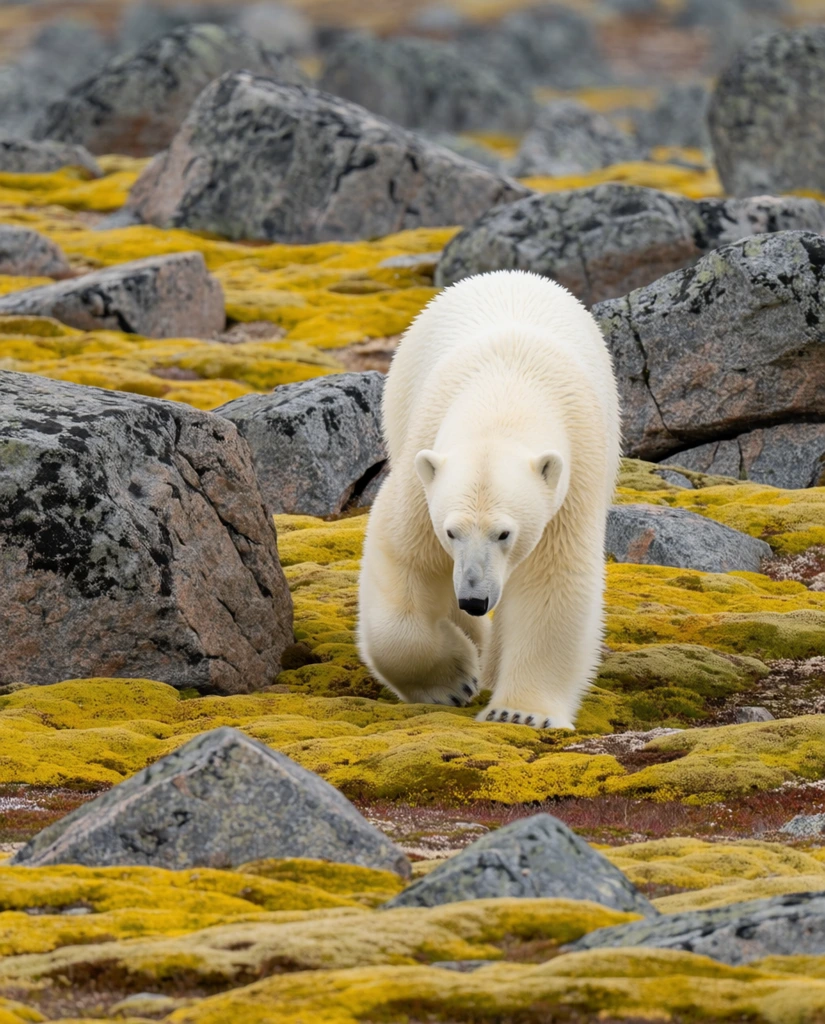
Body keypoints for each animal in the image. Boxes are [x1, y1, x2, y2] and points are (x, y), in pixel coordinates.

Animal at [357, 270, 620, 729]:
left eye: (504, 533)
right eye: (451, 532)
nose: (475, 600)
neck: (505, 391)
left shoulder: (573, 480)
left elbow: (551, 579)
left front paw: (520, 713)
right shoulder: (421, 467)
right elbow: (406, 555)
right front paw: (454, 681)